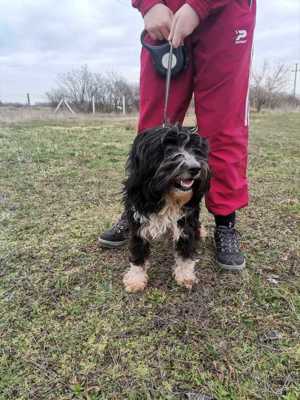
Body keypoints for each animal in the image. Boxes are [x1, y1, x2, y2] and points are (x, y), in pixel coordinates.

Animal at [121, 126, 209, 292]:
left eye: (195, 150)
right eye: (168, 149)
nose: (195, 168)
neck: (167, 197)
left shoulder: (185, 222)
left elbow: (185, 251)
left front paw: (185, 274)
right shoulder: (138, 221)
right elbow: (137, 250)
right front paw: (136, 278)